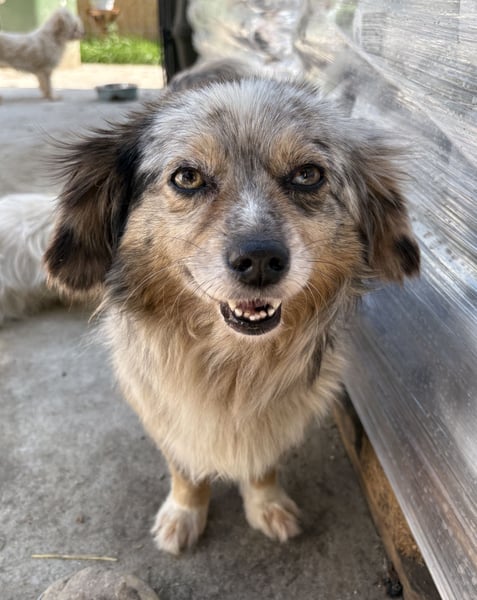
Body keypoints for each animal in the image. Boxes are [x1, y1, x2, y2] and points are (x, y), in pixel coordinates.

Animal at [44, 70, 420, 555]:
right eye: (187, 177)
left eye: (308, 174)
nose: (259, 260)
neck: (233, 364)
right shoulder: (161, 402)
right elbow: (184, 467)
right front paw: (185, 513)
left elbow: (262, 463)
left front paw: (266, 504)